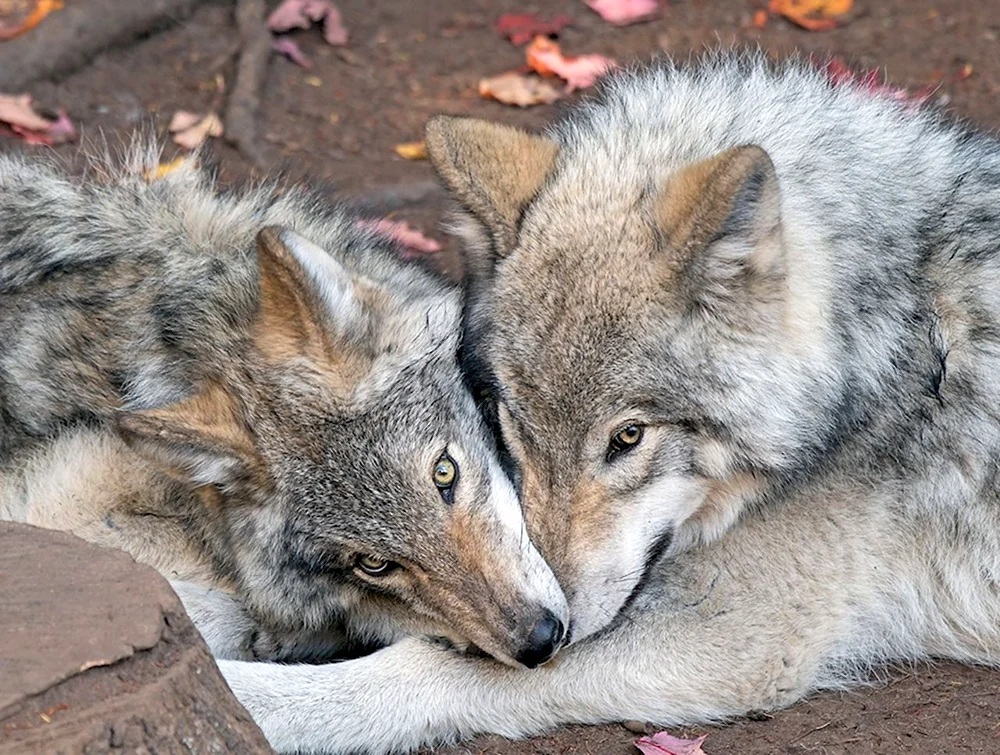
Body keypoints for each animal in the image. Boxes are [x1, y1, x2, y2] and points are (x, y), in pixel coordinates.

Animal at [217, 50, 1000, 752]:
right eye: (512, 425)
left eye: (628, 438)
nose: (551, 625)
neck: (894, 325)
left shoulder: (737, 631)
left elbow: (412, 668)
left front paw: (252, 697)